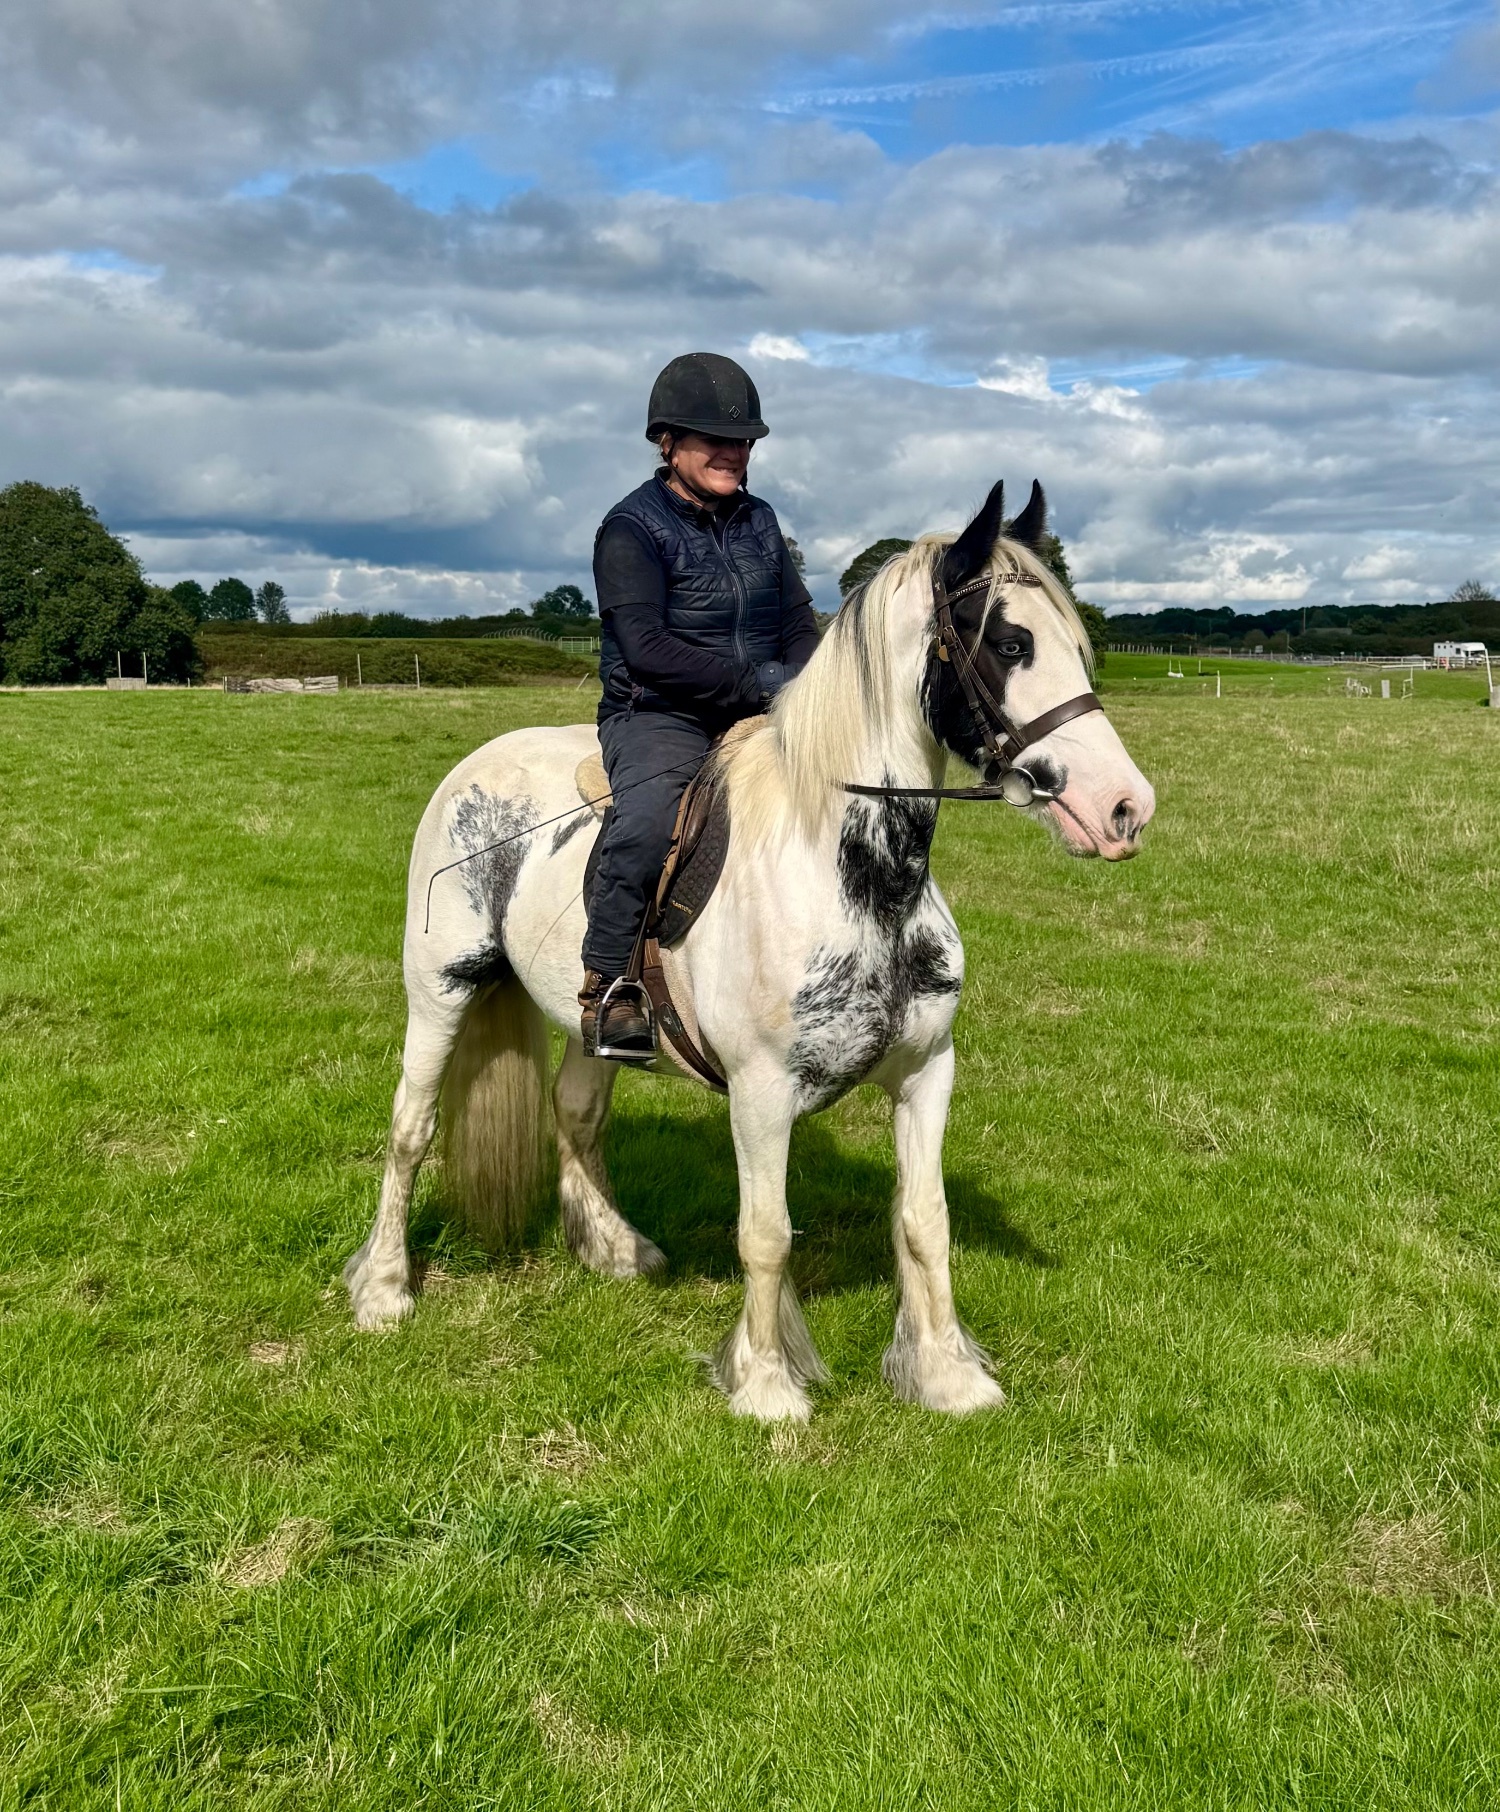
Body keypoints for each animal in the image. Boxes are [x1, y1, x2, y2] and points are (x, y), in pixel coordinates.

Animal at [344, 480, 1155, 1421]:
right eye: (1011, 642)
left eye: (1079, 646)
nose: (1126, 809)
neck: (852, 875)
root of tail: (474, 766)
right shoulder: (763, 1093)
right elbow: (766, 1235)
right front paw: (768, 1386)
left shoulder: (927, 1071)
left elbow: (926, 1221)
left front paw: (947, 1376)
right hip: (440, 992)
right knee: (410, 1128)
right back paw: (384, 1289)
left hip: (591, 1021)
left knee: (574, 1111)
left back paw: (614, 1248)